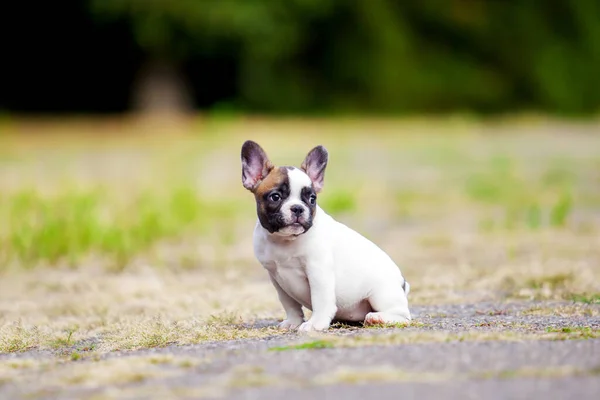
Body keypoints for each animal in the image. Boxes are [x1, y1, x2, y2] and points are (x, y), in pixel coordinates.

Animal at [241, 141, 410, 332]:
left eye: (312, 199)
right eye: (275, 197)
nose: (298, 208)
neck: (285, 241)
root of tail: (403, 284)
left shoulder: (318, 271)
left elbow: (320, 300)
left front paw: (315, 324)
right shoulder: (276, 277)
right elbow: (289, 303)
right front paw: (293, 322)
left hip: (381, 293)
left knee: (403, 316)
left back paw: (378, 318)